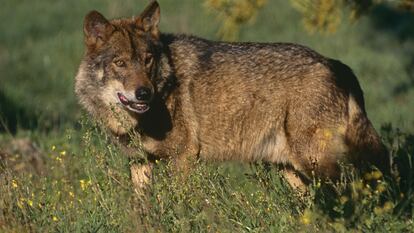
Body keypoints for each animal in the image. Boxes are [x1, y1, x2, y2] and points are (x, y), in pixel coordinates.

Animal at [76, 0, 390, 190]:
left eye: (147, 60)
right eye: (120, 63)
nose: (143, 93)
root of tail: (333, 63)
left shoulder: (184, 157)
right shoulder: (139, 163)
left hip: (314, 165)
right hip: (289, 169)